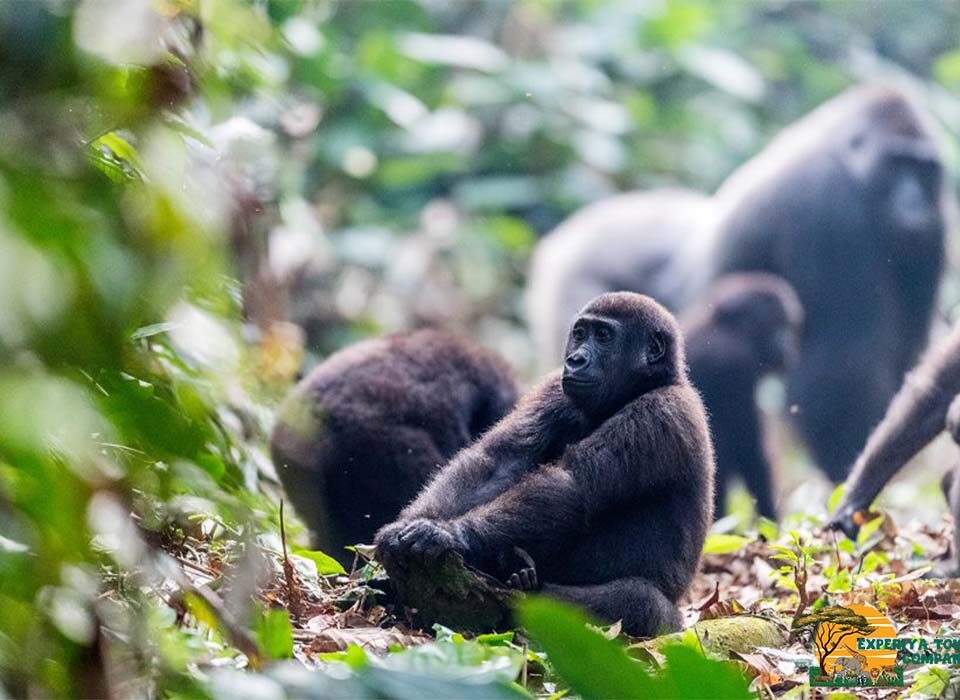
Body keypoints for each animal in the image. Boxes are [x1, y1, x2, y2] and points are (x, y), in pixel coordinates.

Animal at [375, 292, 715, 637]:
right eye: (580, 333)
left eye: (603, 336)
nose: (575, 359)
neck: (650, 383)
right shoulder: (554, 389)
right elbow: (498, 460)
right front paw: (406, 526)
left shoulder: (660, 413)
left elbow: (570, 485)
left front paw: (450, 533)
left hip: (672, 625)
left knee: (639, 601)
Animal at [526, 85, 950, 484]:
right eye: (897, 164)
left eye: (925, 170)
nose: (914, 205)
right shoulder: (828, 203)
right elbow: (843, 367)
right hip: (577, 277)